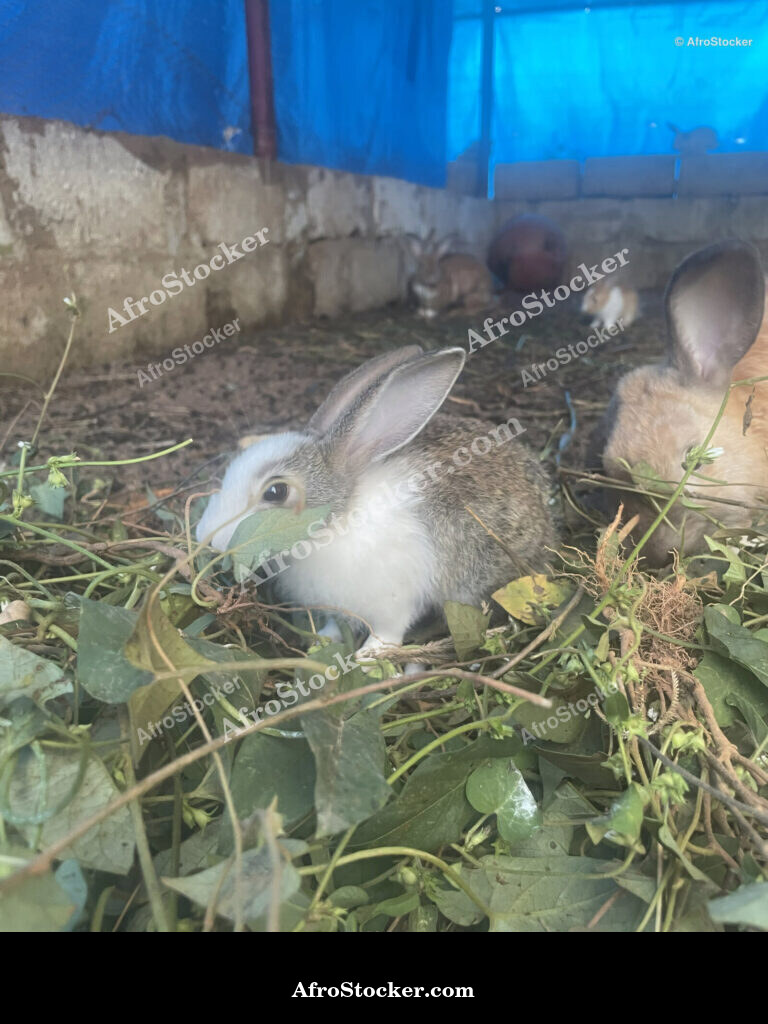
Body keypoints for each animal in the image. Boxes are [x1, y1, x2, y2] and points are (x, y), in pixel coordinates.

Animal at [196, 345, 559, 656]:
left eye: (276, 492)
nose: (206, 537)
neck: (338, 519)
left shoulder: (395, 601)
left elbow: (388, 631)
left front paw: (369, 657)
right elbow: (335, 624)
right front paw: (324, 641)